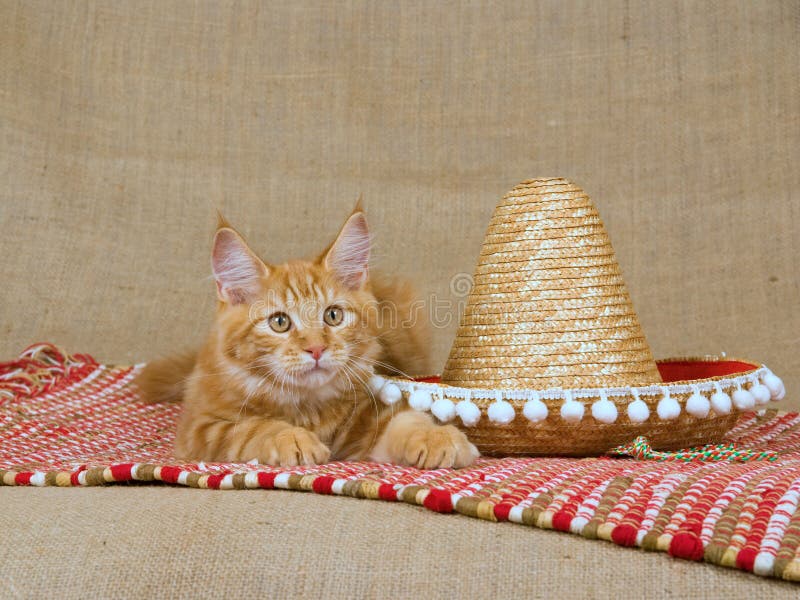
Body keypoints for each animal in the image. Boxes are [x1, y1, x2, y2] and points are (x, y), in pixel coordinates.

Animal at [134, 206, 478, 468]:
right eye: (280, 322)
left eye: (333, 316)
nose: (316, 348)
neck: (308, 408)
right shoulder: (200, 429)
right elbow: (252, 428)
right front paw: (292, 438)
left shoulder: (366, 418)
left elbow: (405, 420)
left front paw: (436, 436)